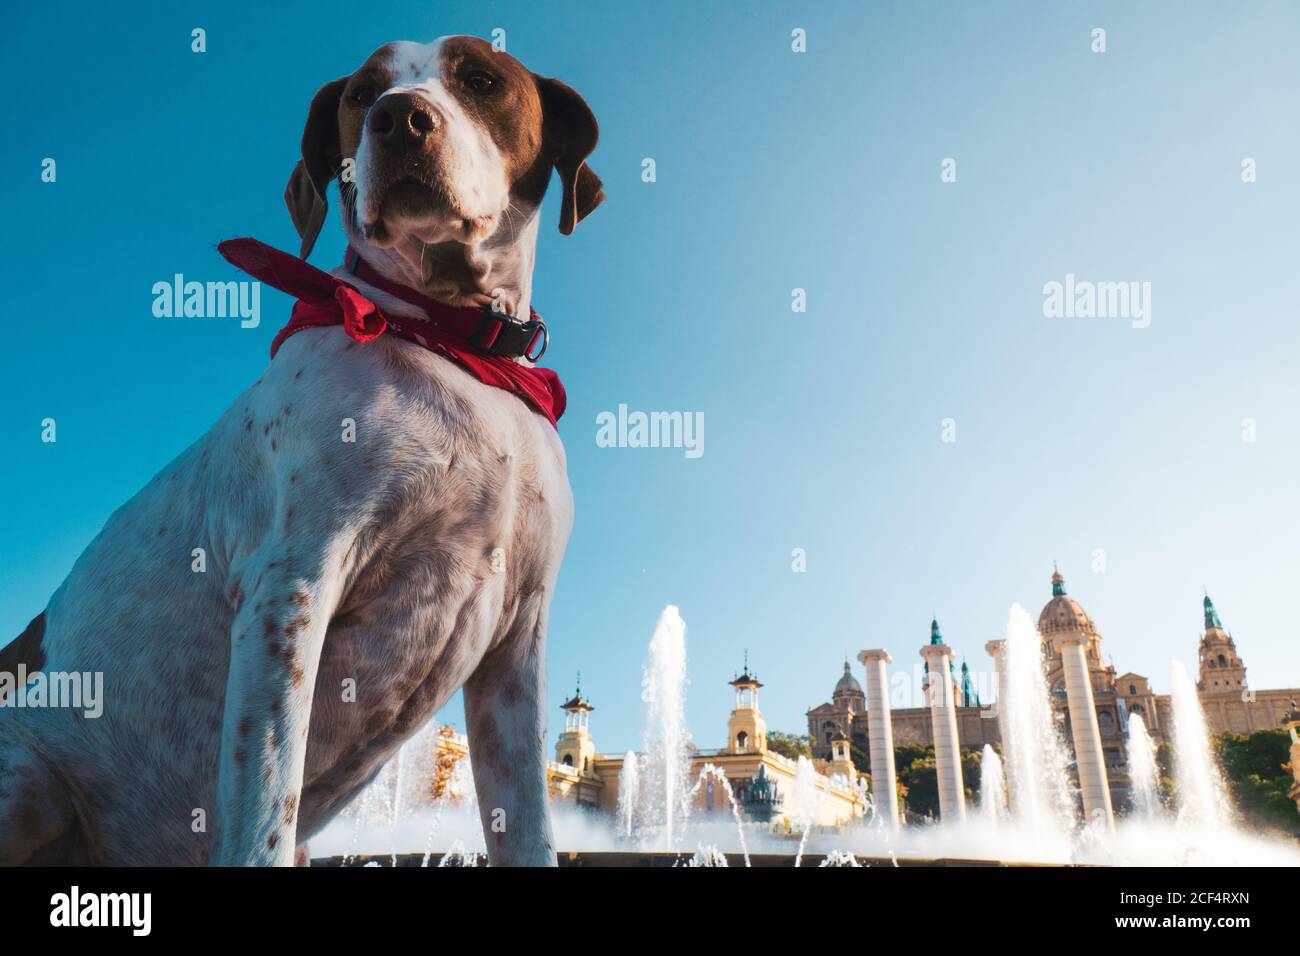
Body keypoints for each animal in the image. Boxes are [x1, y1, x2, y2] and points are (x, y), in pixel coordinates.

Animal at [0, 35, 600, 868]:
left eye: (480, 79)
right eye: (362, 95)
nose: (399, 120)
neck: (453, 346)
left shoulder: (516, 648)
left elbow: (532, 828)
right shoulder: (292, 590)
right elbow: (265, 815)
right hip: (27, 777)